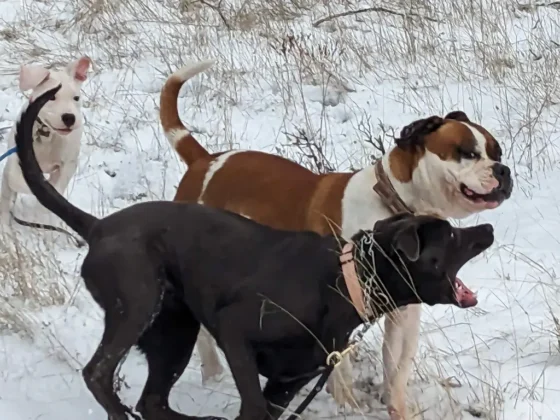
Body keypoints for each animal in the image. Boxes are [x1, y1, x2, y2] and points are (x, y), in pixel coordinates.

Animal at [0, 57, 91, 228]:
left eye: (76, 98)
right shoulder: (16, 163)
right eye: (51, 97)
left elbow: (58, 186)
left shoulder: (68, 165)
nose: (69, 117)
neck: (47, 134)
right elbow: (16, 182)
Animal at [158, 60, 512, 418]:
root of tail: (205, 161)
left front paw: (397, 407)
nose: (503, 170)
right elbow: (339, 367)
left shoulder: (404, 311)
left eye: (497, 151)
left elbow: (397, 366)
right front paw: (346, 404)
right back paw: (213, 373)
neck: (393, 201)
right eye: (467, 153)